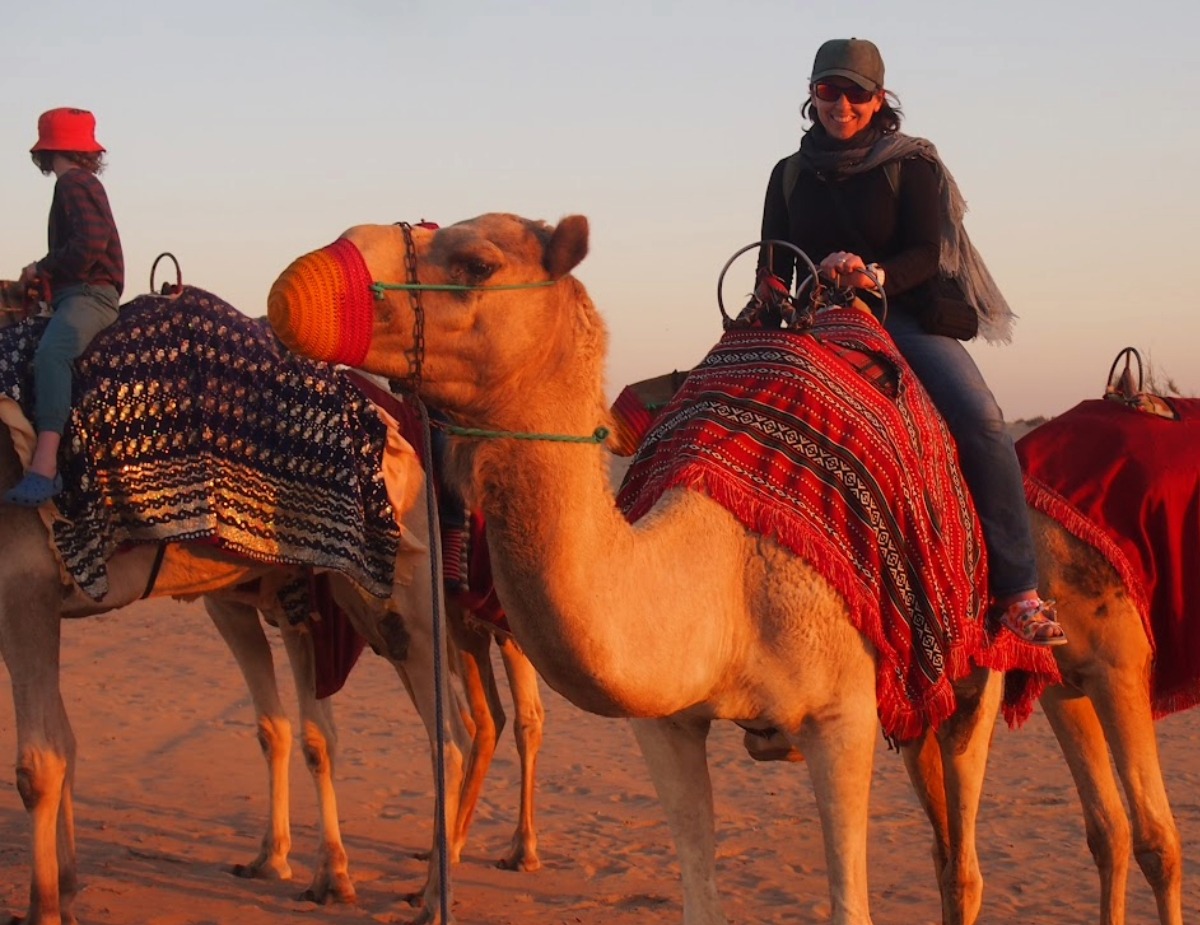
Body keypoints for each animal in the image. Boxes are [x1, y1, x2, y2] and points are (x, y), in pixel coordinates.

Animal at [266, 214, 1185, 925]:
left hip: (984, 669)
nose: (297, 282)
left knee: (971, 860)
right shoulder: (665, 721)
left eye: (477, 263)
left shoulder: (841, 716)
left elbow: (850, 904)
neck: (726, 579)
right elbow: (699, 895)